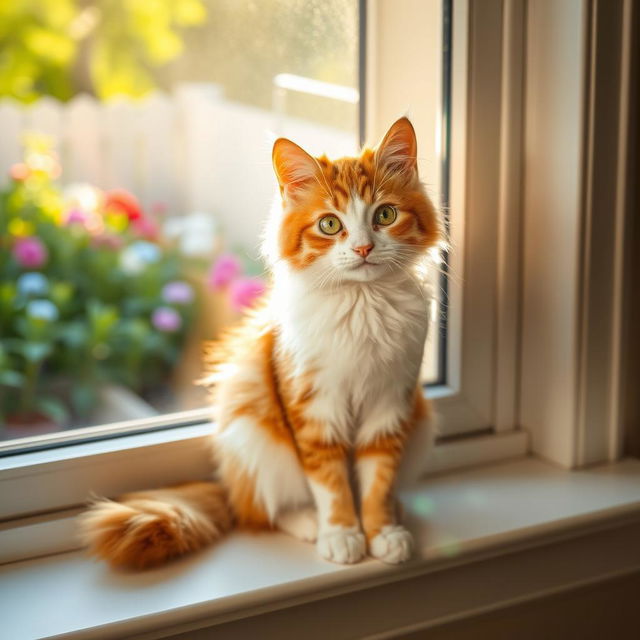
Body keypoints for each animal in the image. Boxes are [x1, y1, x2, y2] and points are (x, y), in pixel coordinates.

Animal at [79, 117, 440, 568]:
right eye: (329, 224)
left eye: (385, 215)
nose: (363, 248)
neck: (363, 304)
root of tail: (229, 485)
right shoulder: (312, 409)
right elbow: (331, 483)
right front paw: (341, 534)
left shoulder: (390, 405)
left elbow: (378, 482)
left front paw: (382, 531)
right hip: (252, 431)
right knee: (260, 511)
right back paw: (307, 522)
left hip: (420, 419)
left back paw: (396, 510)